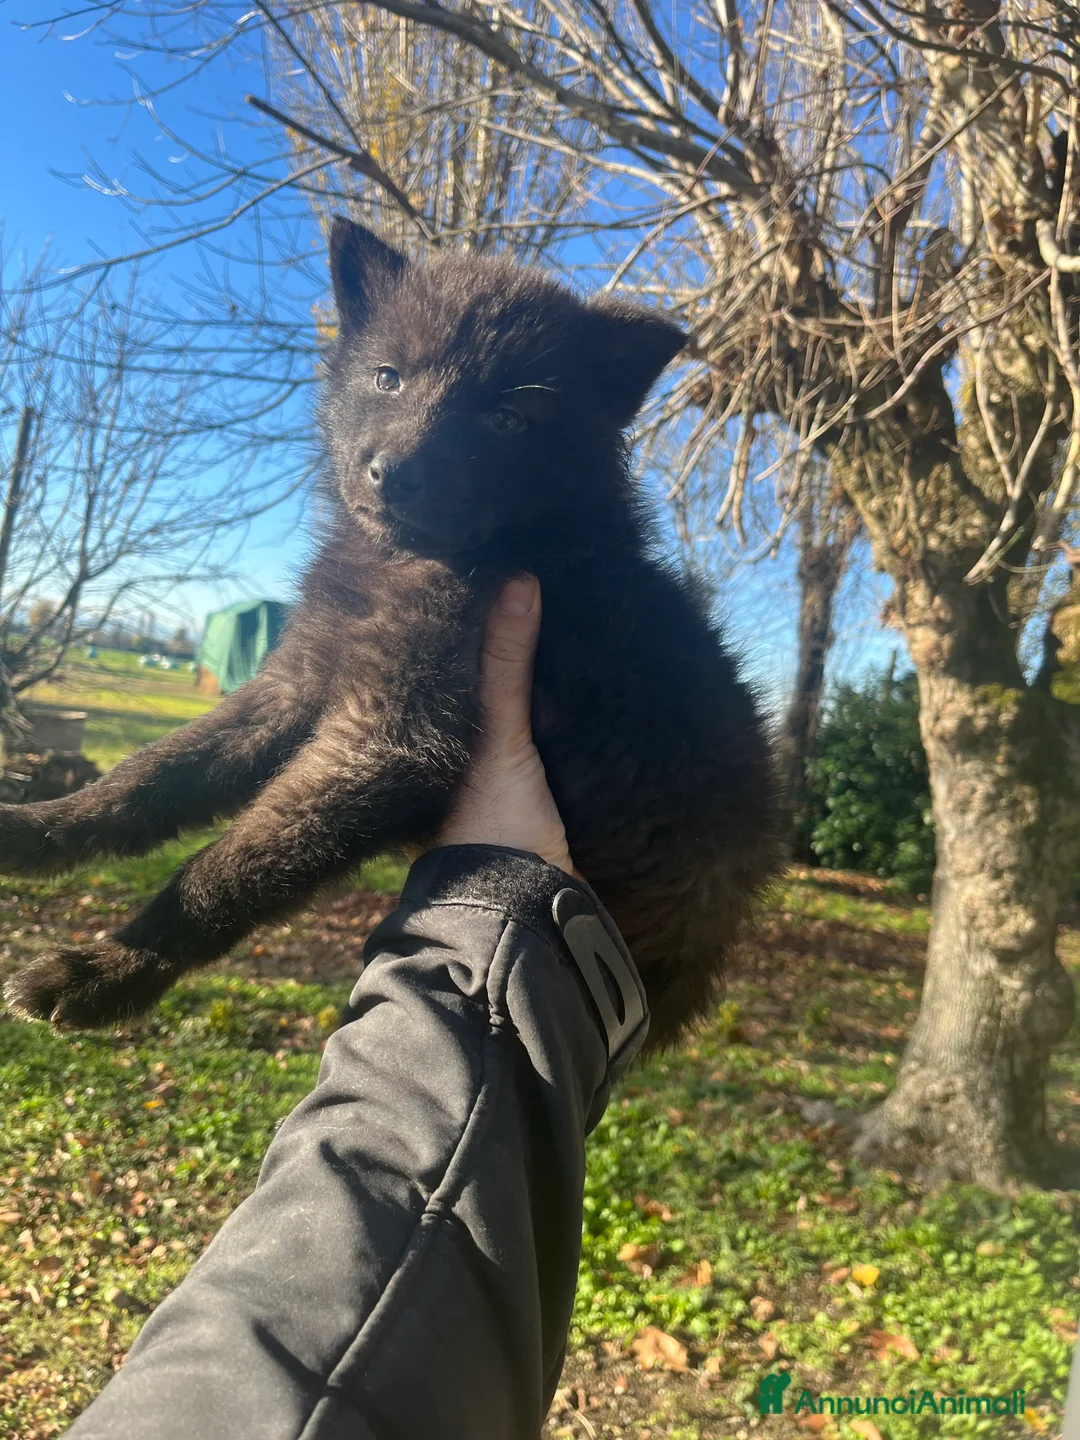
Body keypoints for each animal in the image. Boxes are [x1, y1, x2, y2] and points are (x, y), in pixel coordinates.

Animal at [1, 218, 781, 1048]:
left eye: (508, 420)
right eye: (388, 378)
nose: (394, 473)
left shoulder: (392, 739)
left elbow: (227, 865)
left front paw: (106, 972)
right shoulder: (297, 685)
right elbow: (151, 776)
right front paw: (36, 831)